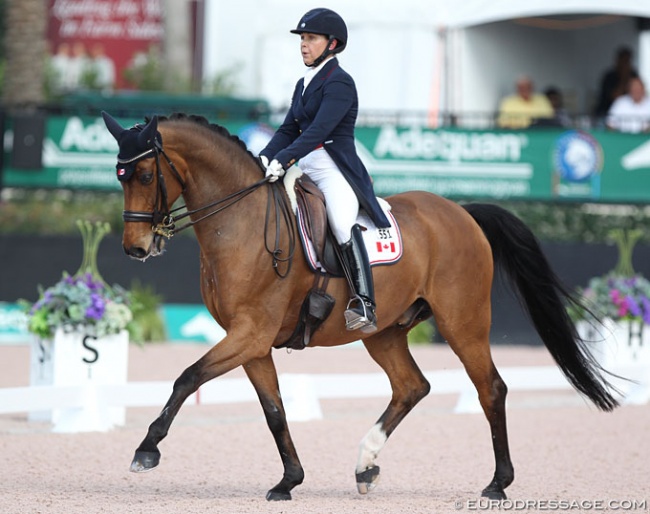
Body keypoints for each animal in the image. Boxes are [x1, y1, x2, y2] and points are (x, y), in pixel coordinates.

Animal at [100, 112, 612, 500]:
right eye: (118, 176)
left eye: (145, 174)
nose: (135, 248)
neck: (241, 221)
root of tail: (461, 212)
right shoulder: (252, 341)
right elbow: (274, 410)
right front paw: (289, 481)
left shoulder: (250, 332)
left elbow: (187, 377)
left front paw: (146, 450)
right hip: (383, 333)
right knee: (412, 387)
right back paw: (366, 465)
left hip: (462, 323)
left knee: (491, 389)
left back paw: (498, 483)